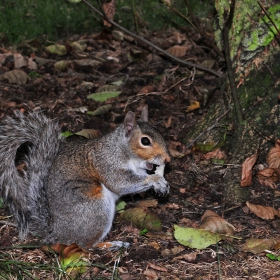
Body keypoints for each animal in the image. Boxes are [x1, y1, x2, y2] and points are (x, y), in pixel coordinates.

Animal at [0, 107, 171, 247]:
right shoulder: (107, 162)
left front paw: (160, 182)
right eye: (145, 141)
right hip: (95, 208)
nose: (167, 159)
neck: (123, 150)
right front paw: (155, 180)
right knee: (85, 245)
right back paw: (111, 244)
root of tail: (57, 233)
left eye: (161, 134)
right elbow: (120, 183)